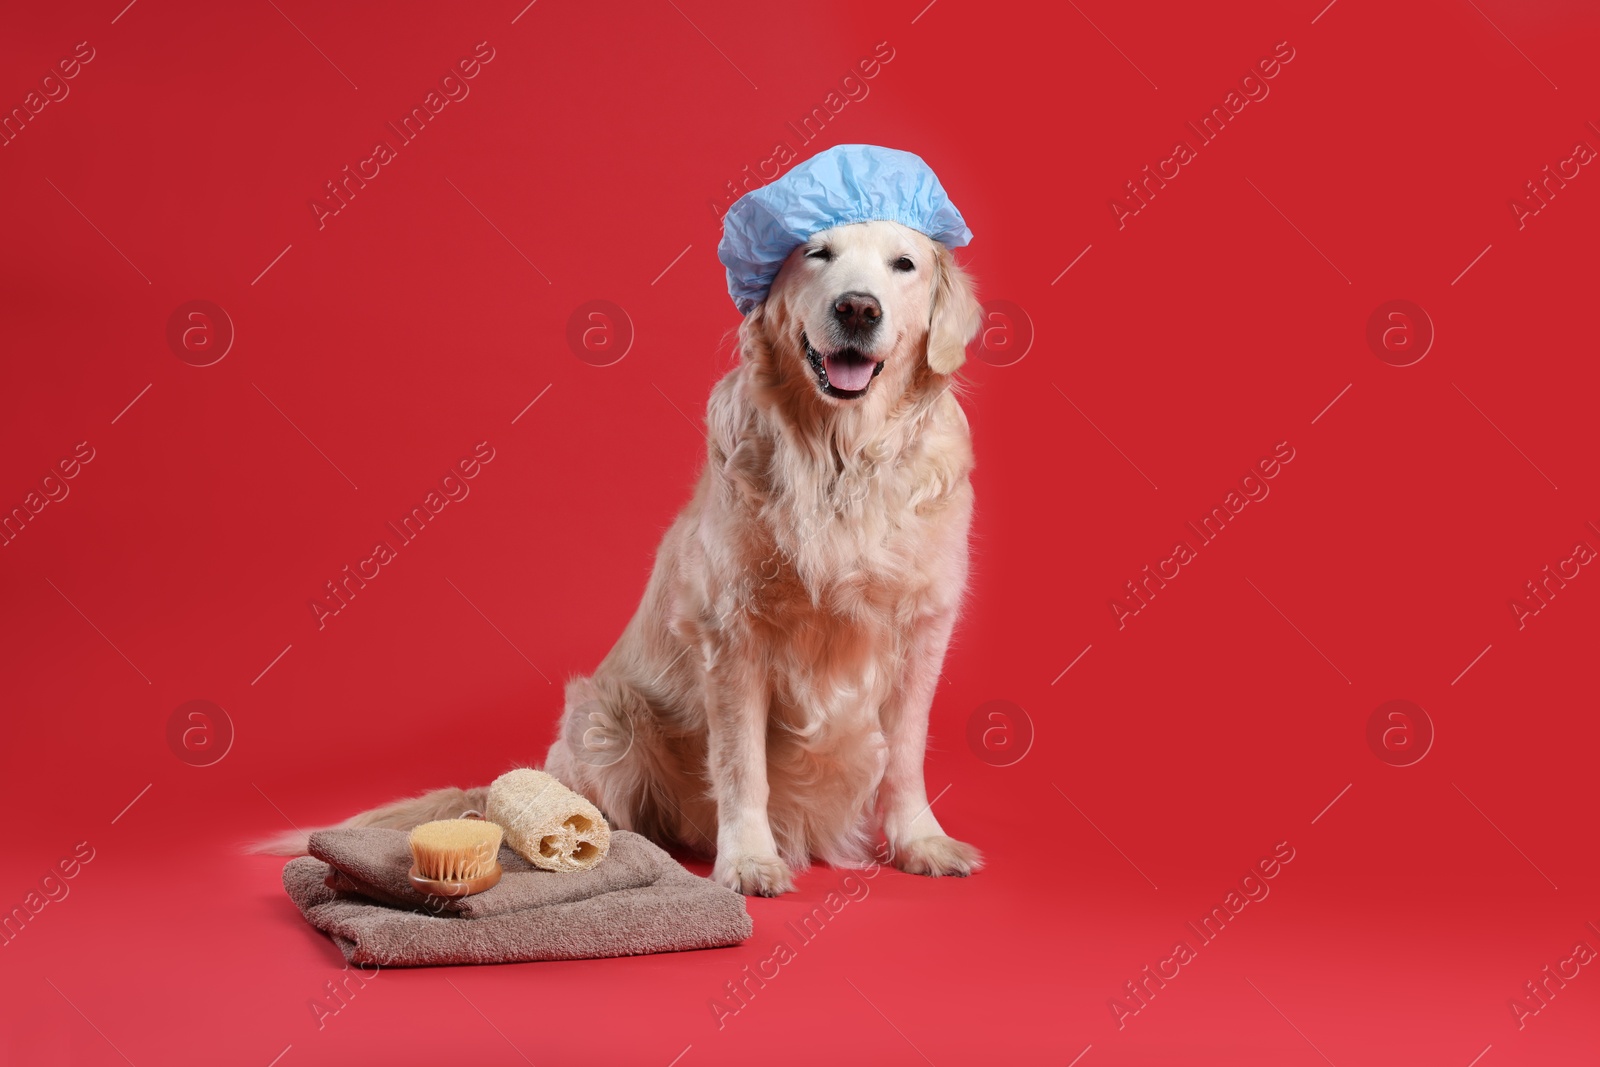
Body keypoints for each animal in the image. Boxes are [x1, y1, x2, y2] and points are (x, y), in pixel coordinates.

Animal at [289, 220, 985, 895]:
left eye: (904, 265)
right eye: (818, 254)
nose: (858, 308)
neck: (839, 459)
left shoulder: (924, 631)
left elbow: (905, 756)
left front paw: (921, 842)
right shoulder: (732, 638)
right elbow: (743, 766)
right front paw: (748, 860)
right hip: (606, 717)